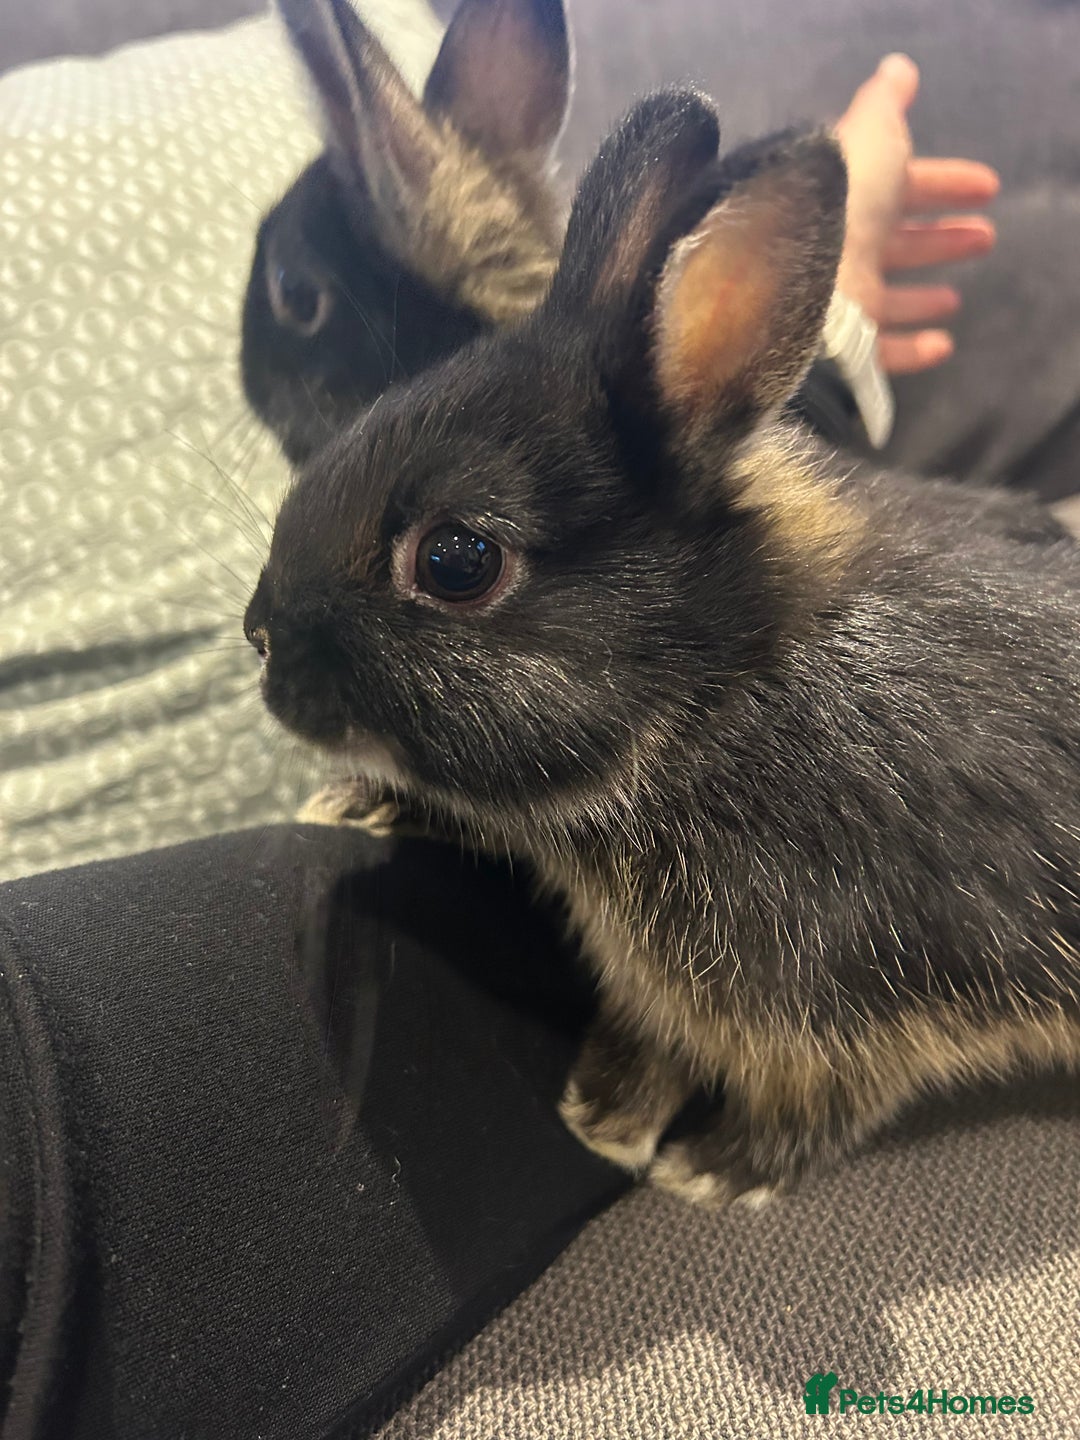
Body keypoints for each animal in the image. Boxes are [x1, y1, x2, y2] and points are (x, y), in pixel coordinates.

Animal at [245, 87, 1080, 1209]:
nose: (259, 636)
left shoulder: (859, 999)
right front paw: (604, 1113)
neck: (713, 699)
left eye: (458, 559)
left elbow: (826, 1098)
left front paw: (708, 1170)